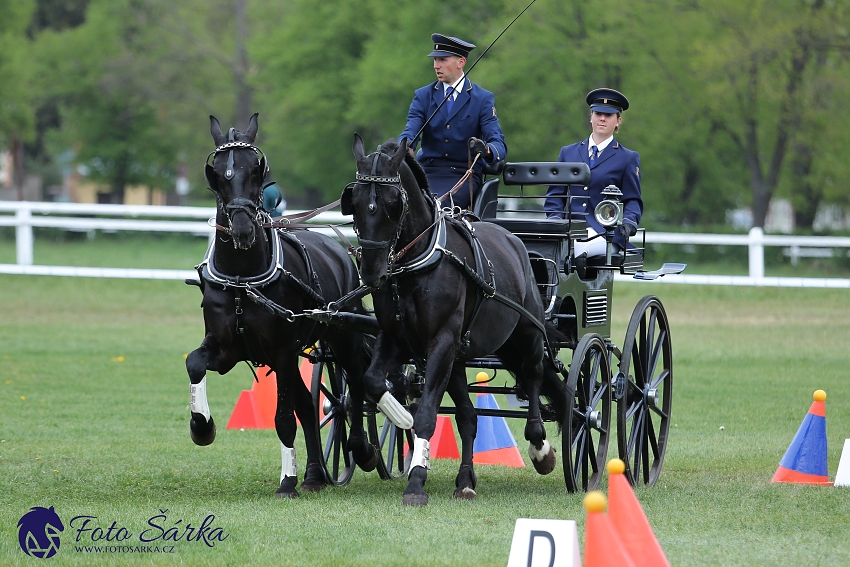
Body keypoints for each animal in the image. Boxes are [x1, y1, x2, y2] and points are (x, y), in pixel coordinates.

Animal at [186, 114, 410, 496]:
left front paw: (286, 481)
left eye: (256, 168)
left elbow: (282, 418)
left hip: (341, 338)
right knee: (311, 405)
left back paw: (361, 451)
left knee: (356, 386)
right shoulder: (225, 347)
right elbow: (194, 363)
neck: (244, 278)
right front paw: (202, 427)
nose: (243, 229)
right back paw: (315, 475)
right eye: (217, 172)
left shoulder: (282, 351)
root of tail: (339, 247)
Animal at [342, 135, 568, 508]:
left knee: (534, 377)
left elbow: (427, 415)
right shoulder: (395, 338)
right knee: (469, 416)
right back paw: (465, 481)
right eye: (355, 202)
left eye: (392, 203)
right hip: (465, 355)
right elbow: (374, 381)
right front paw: (400, 417)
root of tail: (515, 240)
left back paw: (540, 447)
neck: (418, 264)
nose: (372, 272)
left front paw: (416, 481)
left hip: (526, 335)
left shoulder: (442, 341)